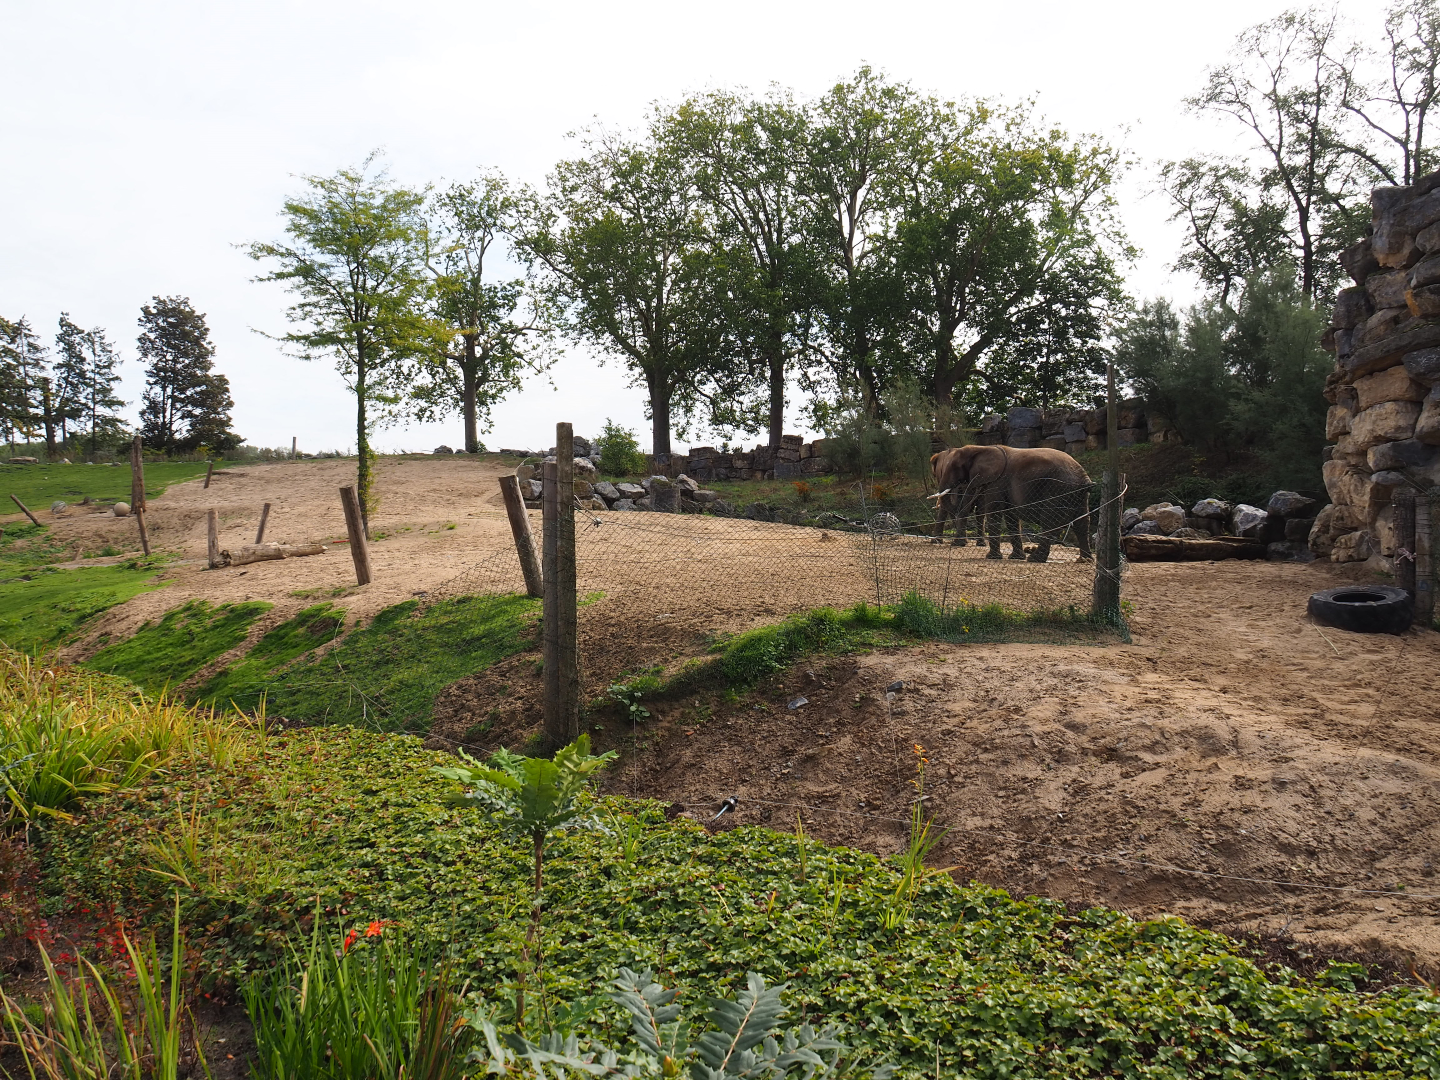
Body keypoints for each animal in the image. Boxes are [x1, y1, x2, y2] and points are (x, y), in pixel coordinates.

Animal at [931, 445, 1093, 563]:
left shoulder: (997, 482)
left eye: (954, 468)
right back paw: (1084, 560)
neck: (981, 448)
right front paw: (1015, 557)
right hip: (1078, 496)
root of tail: (1084, 480)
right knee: (1083, 523)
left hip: (1057, 491)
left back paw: (1034, 559)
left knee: (1049, 522)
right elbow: (1011, 517)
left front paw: (992, 558)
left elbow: (994, 512)